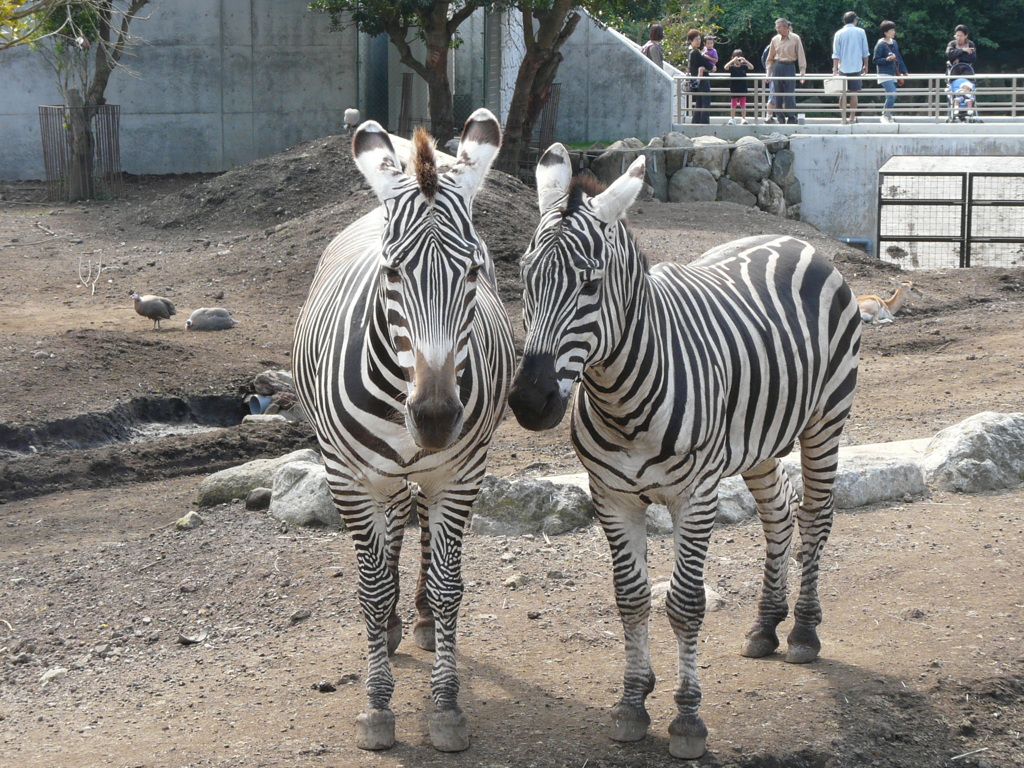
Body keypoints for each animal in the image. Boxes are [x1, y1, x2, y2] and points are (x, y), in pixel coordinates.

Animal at [290, 111, 516, 753]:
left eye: (472, 272)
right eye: (391, 271)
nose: (436, 418)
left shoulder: (461, 475)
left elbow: (448, 585)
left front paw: (445, 706)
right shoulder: (346, 477)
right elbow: (368, 588)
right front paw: (376, 706)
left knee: (416, 535)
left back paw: (415, 619)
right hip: (375, 474)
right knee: (391, 527)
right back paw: (390, 624)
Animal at [507, 145, 860, 765]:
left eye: (591, 283)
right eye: (525, 276)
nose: (530, 400)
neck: (621, 397)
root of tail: (796, 240)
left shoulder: (695, 496)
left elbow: (685, 604)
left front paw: (688, 718)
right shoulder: (611, 496)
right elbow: (630, 600)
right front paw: (631, 704)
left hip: (826, 420)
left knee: (817, 517)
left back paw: (802, 632)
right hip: (755, 441)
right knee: (779, 514)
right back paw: (766, 626)